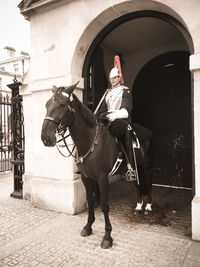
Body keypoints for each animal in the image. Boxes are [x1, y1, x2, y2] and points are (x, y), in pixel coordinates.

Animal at [41, 83, 153, 249]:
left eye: (62, 105)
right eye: (47, 104)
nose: (45, 138)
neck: (89, 141)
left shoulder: (102, 179)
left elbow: (105, 205)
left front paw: (107, 236)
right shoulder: (86, 178)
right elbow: (90, 200)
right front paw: (88, 227)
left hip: (146, 166)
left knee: (149, 183)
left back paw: (149, 206)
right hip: (134, 168)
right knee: (137, 183)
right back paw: (139, 206)